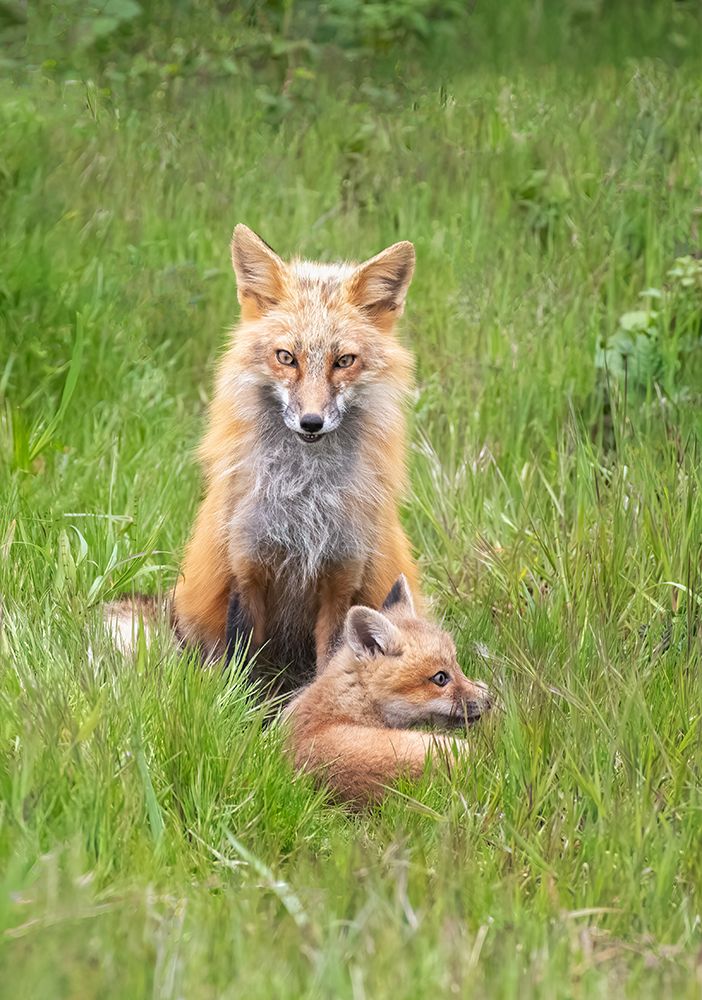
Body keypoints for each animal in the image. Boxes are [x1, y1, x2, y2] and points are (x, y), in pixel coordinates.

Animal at [171, 224, 421, 688]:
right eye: (286, 357)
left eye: (344, 361)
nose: (311, 423)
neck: (304, 503)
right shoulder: (246, 570)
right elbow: (241, 670)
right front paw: (235, 708)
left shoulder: (341, 581)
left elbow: (332, 662)